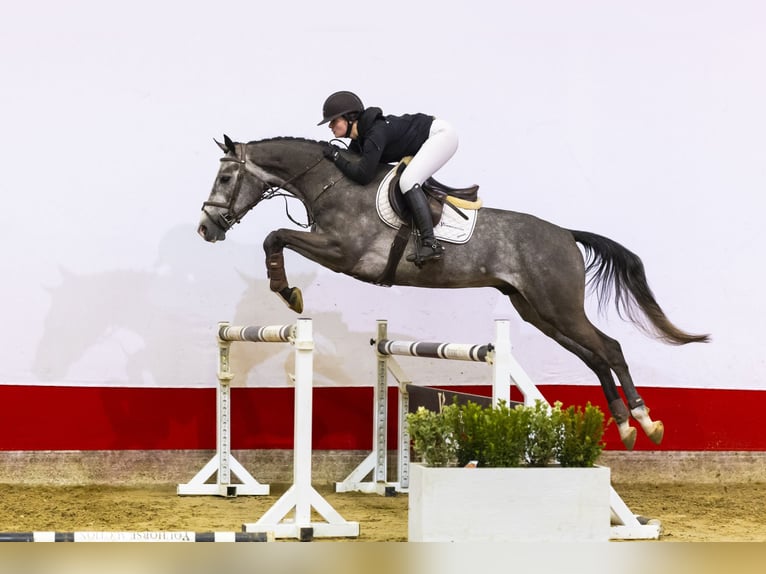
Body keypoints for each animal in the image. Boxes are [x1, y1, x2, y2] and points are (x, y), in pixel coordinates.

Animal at [200, 135, 712, 450]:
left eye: (225, 178)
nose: (207, 228)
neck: (334, 184)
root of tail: (566, 234)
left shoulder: (344, 253)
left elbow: (277, 236)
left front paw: (286, 291)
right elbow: (278, 237)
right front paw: (285, 288)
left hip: (559, 306)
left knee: (611, 348)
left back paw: (645, 422)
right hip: (538, 311)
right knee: (595, 356)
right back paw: (625, 427)